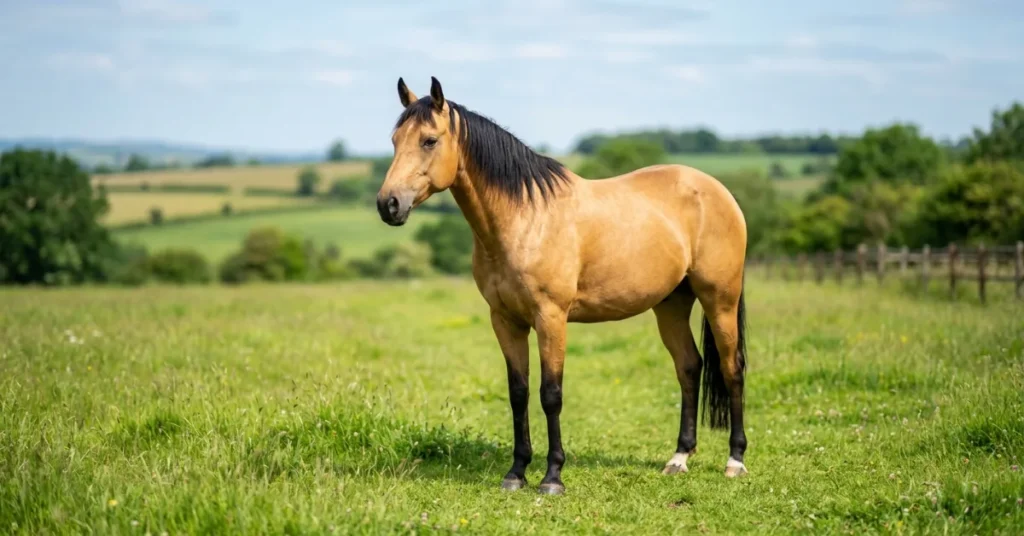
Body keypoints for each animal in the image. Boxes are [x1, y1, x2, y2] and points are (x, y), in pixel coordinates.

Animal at [376, 76, 749, 495]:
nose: (388, 204)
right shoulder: (505, 320)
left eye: (428, 140)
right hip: (671, 304)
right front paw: (516, 472)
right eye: (395, 140)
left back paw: (735, 460)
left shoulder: (550, 318)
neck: (525, 218)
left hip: (720, 299)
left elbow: (550, 394)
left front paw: (552, 476)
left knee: (732, 368)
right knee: (689, 366)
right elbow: (518, 393)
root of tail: (716, 189)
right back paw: (679, 458)